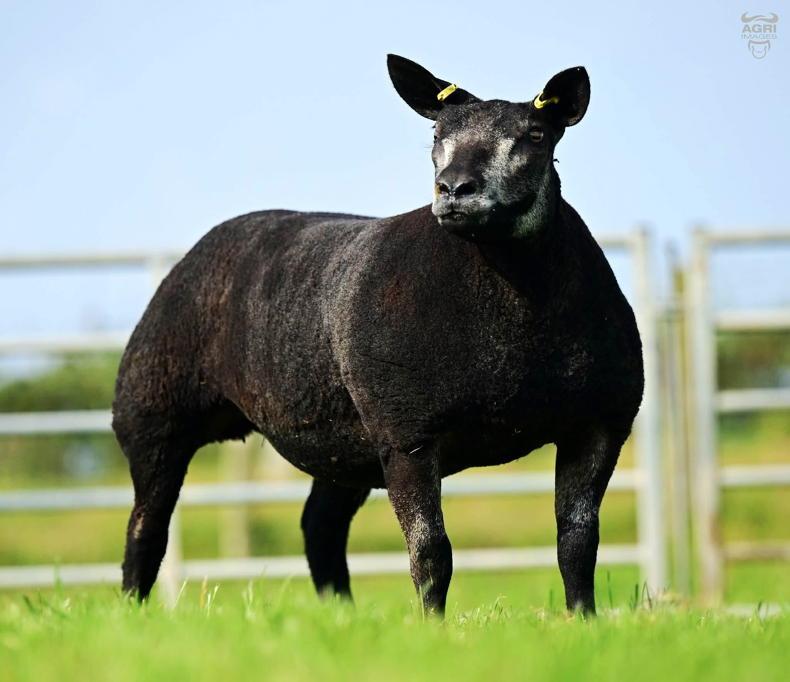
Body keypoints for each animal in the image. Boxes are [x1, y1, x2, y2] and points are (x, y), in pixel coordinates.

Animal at [113, 54, 643, 616]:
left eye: (536, 135)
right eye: (436, 133)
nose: (454, 189)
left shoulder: (600, 422)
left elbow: (578, 541)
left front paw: (583, 619)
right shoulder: (407, 433)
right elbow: (431, 550)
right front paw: (433, 626)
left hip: (343, 439)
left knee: (320, 526)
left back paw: (340, 615)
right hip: (153, 412)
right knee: (146, 528)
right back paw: (132, 610)